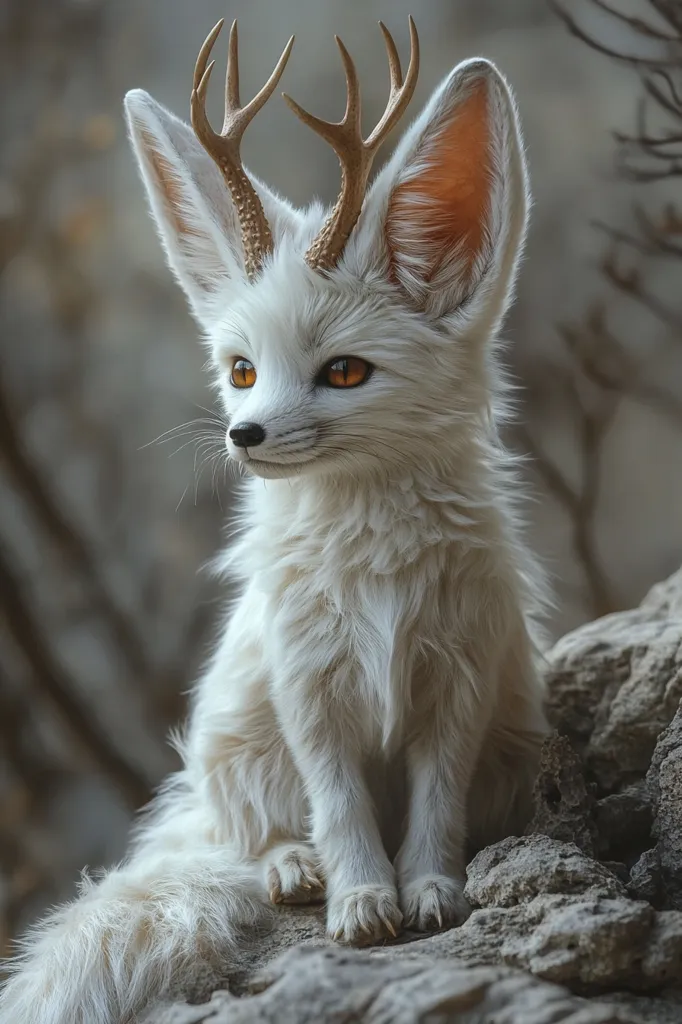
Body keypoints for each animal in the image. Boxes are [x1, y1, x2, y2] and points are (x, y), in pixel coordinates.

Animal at [0, 16, 549, 1024]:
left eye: (344, 371)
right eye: (243, 368)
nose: (243, 434)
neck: (374, 568)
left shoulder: (457, 687)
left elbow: (435, 803)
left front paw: (431, 892)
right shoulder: (307, 689)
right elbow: (338, 806)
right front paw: (364, 902)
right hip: (235, 739)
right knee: (250, 835)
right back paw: (295, 870)